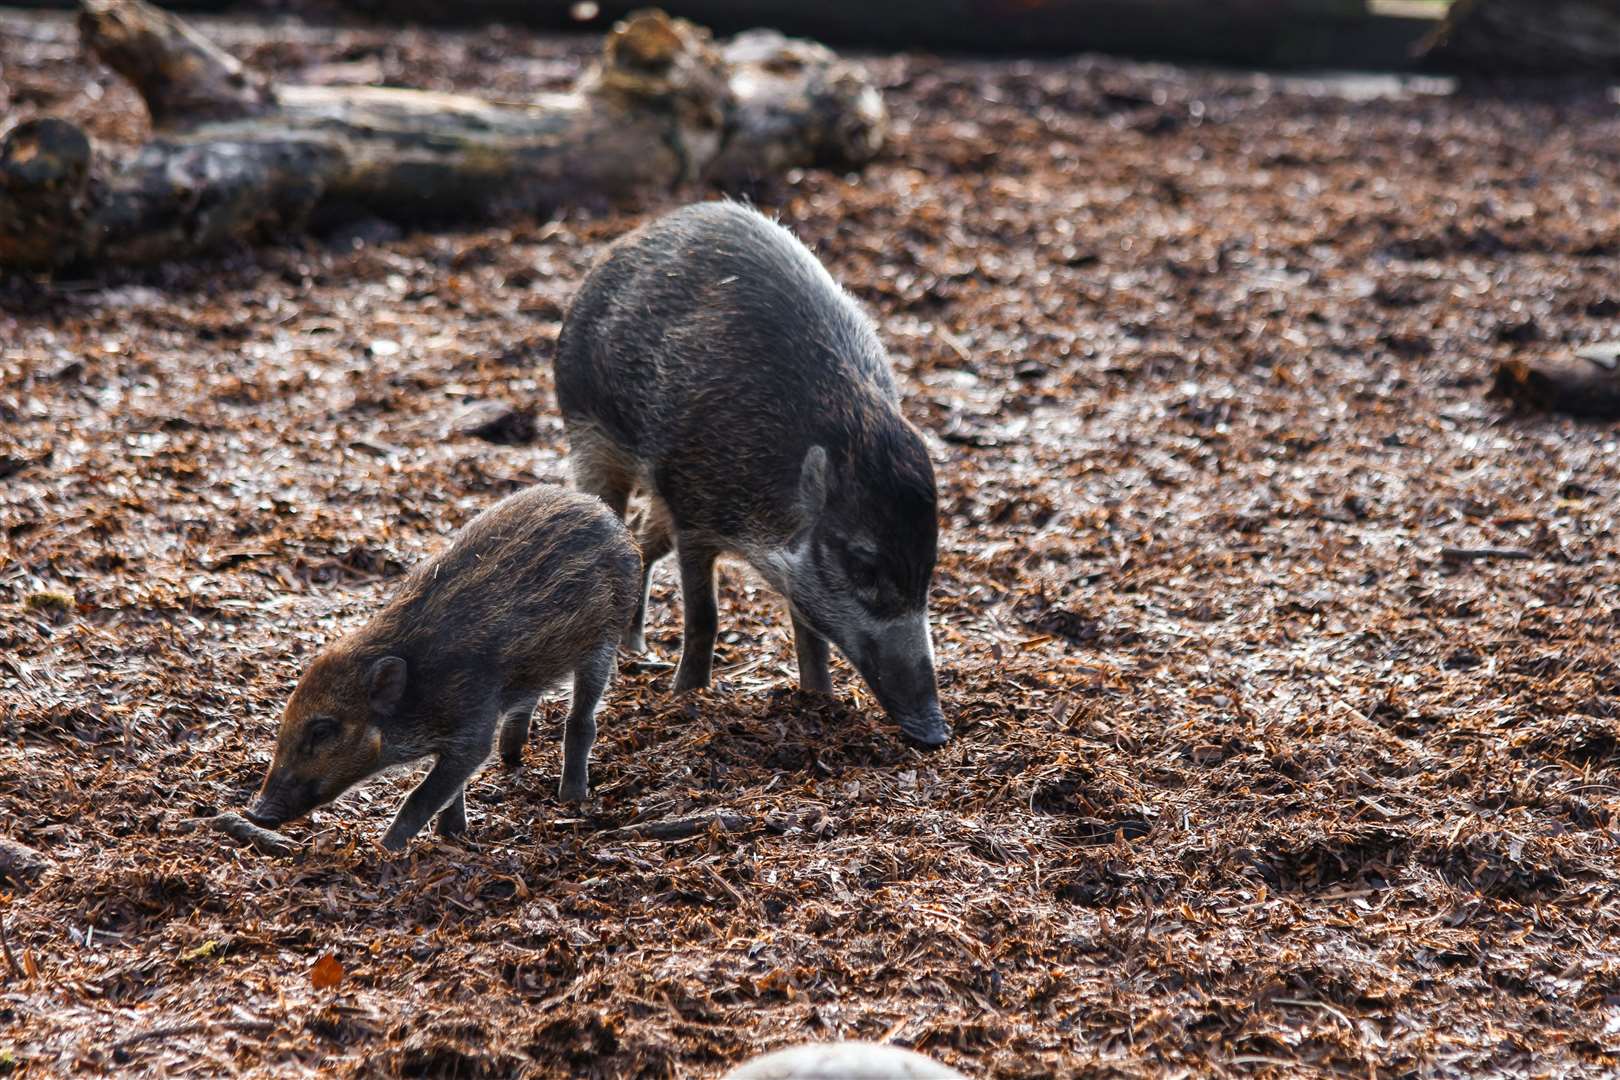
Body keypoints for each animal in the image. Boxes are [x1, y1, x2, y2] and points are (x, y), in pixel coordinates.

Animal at [246, 485, 638, 848]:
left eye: (323, 730)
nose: (255, 813)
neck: (416, 692)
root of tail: (602, 511)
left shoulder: (474, 729)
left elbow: (422, 795)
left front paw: (385, 848)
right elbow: (450, 791)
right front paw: (451, 833)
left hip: (604, 642)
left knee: (581, 719)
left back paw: (571, 797)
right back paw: (511, 758)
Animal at [554, 198, 946, 748]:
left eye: (930, 565)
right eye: (864, 565)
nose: (936, 732)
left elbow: (810, 629)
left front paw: (820, 700)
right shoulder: (694, 513)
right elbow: (705, 617)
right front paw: (687, 698)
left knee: (640, 540)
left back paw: (638, 649)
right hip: (590, 437)